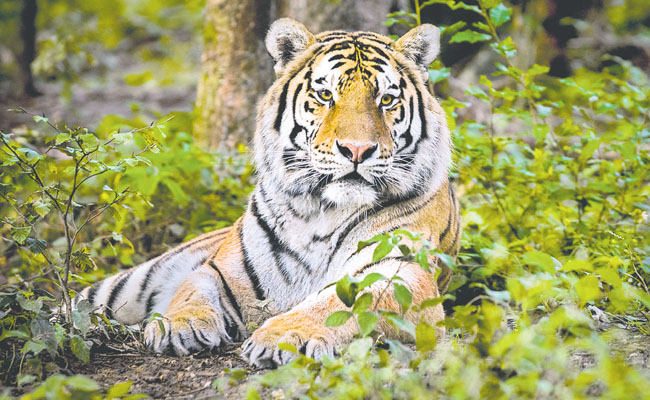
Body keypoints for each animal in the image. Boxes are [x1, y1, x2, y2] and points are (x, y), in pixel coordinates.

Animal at [74, 18, 461, 368]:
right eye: (325, 95)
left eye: (387, 99)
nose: (356, 150)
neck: (323, 211)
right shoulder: (221, 270)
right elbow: (191, 291)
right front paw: (176, 325)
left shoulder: (400, 273)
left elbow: (338, 304)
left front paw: (286, 336)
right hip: (127, 285)